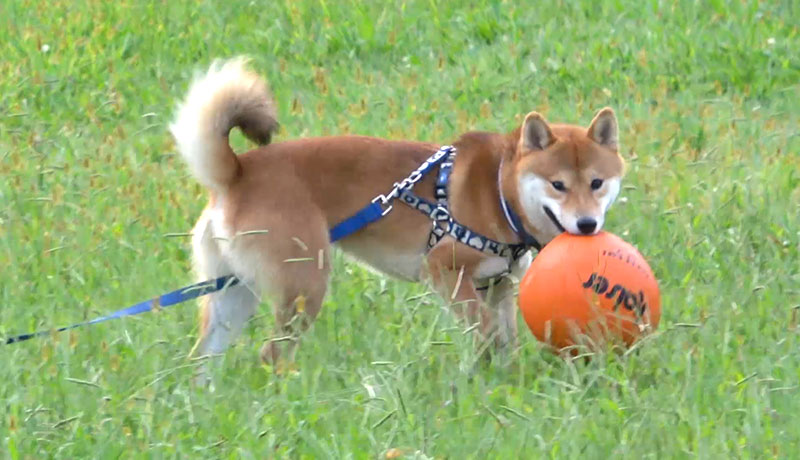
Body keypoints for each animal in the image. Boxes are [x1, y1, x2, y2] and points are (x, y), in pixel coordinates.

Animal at [172, 59, 624, 366]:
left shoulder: (498, 286)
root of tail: (237, 173)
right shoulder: (445, 272)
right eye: (558, 185)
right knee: (272, 353)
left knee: (204, 357)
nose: (587, 225)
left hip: (234, 293)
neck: (499, 193)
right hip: (304, 286)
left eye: (597, 183)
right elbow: (488, 333)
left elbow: (505, 340)